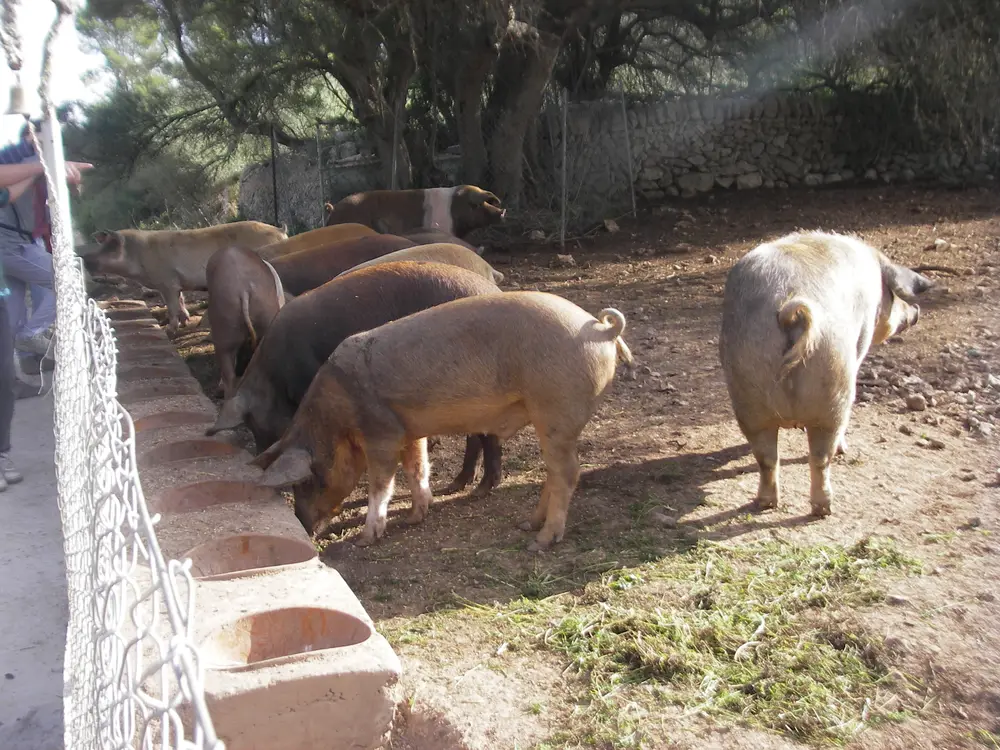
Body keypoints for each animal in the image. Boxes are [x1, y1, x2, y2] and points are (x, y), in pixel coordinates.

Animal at [80, 221, 287, 333]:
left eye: (108, 247)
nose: (85, 259)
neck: (138, 256)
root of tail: (280, 231)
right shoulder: (175, 284)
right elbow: (180, 301)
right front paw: (185, 321)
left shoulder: (166, 281)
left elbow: (172, 305)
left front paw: (170, 329)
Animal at [250, 291, 633, 551]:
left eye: (307, 482)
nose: (304, 527)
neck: (337, 417)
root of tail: (601, 329)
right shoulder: (409, 432)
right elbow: (417, 468)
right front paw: (416, 516)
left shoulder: (381, 433)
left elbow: (380, 485)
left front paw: (365, 539)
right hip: (552, 419)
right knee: (554, 473)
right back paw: (526, 524)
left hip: (556, 410)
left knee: (568, 473)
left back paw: (540, 541)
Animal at [719, 230, 933, 517]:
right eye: (895, 295)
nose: (916, 311)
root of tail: (790, 309)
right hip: (834, 383)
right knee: (820, 457)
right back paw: (825, 506)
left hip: (748, 390)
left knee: (767, 458)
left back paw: (766, 502)